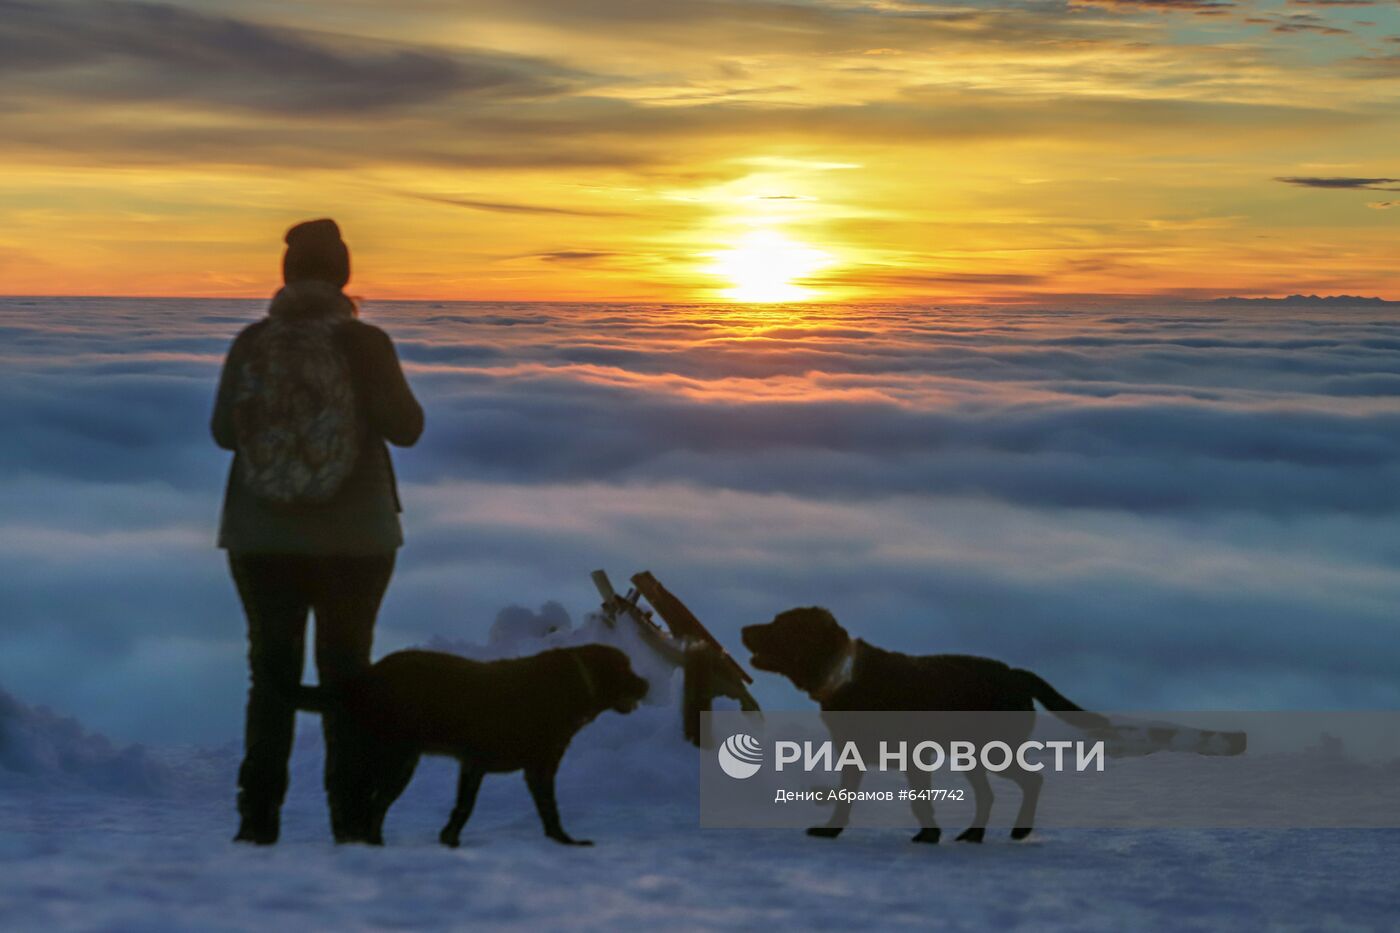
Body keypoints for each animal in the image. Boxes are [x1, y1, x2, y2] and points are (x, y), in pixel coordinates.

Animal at [320, 644, 646, 846]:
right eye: (626, 668)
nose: (647, 684)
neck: (571, 685)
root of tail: (365, 678)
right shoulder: (530, 767)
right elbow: (546, 809)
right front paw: (566, 841)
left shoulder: (478, 765)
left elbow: (466, 806)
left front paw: (448, 839)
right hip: (393, 759)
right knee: (368, 801)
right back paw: (372, 843)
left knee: (358, 797)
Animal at [739, 607, 1108, 840]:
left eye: (781, 624)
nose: (743, 628)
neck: (845, 675)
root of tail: (1016, 674)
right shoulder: (852, 753)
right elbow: (846, 796)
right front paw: (832, 829)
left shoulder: (914, 754)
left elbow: (918, 800)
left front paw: (929, 834)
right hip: (971, 757)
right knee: (988, 795)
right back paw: (973, 834)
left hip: (995, 752)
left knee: (1032, 781)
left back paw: (1019, 829)